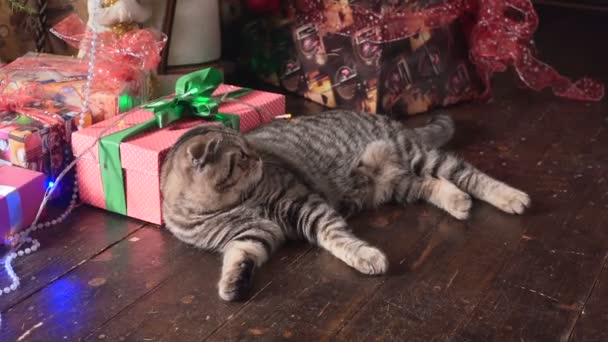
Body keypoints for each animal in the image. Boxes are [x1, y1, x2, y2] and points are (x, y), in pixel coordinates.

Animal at [159, 111, 528, 300]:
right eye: (242, 157)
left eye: (251, 150)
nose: (259, 159)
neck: (224, 209)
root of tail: (395, 122)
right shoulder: (252, 233)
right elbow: (239, 256)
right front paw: (232, 285)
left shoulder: (302, 204)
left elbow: (334, 236)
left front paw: (365, 256)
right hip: (395, 185)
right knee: (431, 184)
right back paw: (457, 201)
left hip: (419, 157)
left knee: (469, 174)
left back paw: (510, 197)